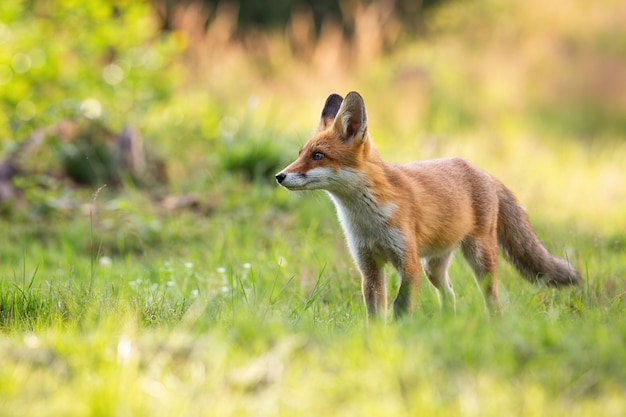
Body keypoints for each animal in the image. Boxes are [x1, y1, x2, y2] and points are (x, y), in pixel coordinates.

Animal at [276, 91, 576, 318]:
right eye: (300, 154)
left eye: (318, 156)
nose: (279, 176)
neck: (366, 221)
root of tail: (481, 171)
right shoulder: (368, 266)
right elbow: (375, 314)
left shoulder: (408, 264)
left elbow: (400, 308)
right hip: (434, 267)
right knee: (450, 294)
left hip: (479, 258)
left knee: (491, 299)